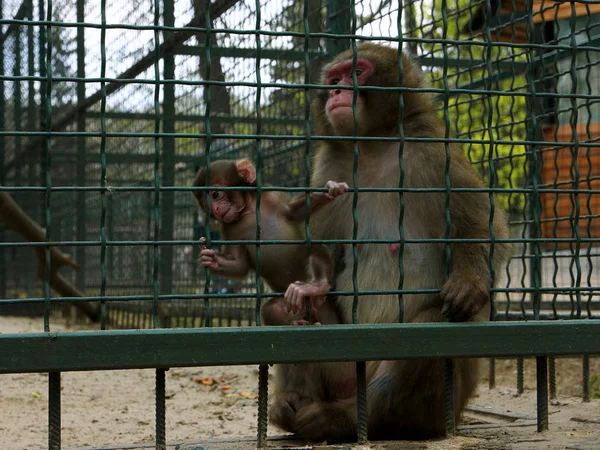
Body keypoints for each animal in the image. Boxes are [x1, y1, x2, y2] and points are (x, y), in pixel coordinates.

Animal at [193, 160, 346, 326]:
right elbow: (240, 265)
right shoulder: (228, 229)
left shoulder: (271, 196)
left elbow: (293, 211)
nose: (214, 209)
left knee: (315, 249)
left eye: (215, 194)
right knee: (272, 310)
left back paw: (316, 287)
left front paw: (328, 190)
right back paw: (300, 321)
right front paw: (210, 258)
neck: (248, 211)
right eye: (207, 206)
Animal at [270, 44, 508, 442]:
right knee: (287, 315)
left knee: (433, 329)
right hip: (343, 371)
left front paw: (469, 283)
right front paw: (304, 289)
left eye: (357, 72)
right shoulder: (330, 168)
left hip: (440, 403)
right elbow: (318, 258)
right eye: (333, 78)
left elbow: (479, 226)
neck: (372, 145)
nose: (337, 92)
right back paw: (291, 405)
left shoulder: (432, 150)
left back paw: (349, 420)